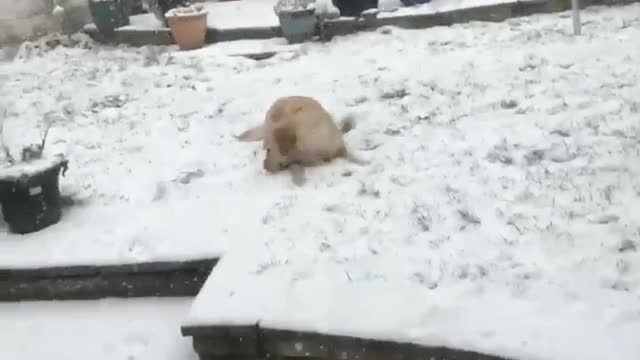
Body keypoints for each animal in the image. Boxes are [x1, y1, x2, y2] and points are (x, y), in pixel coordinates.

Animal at [235, 95, 368, 186]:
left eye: (269, 149)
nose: (265, 168)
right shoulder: (297, 159)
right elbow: (296, 166)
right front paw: (299, 180)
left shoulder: (336, 145)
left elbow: (351, 155)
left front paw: (364, 162)